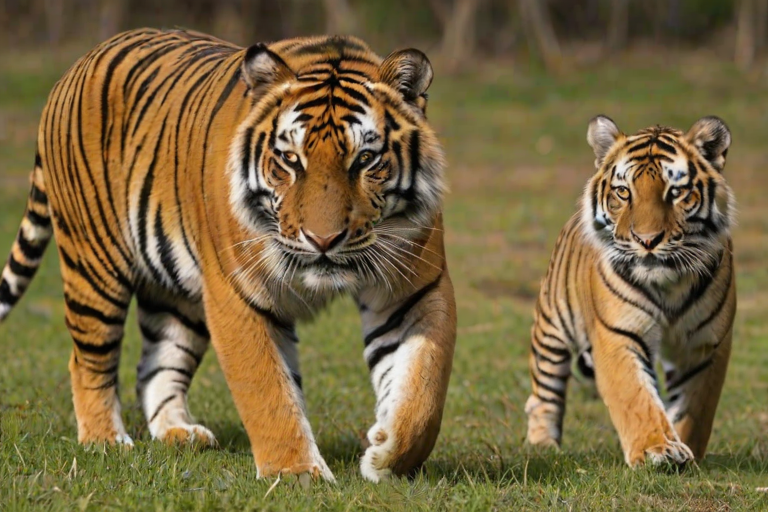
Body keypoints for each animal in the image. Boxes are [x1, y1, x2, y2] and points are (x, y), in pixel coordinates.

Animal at [0, 28, 457, 482]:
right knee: (87, 359)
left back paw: (179, 432)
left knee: (155, 365)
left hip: (178, 293)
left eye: (365, 159)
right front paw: (296, 472)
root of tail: (77, 66)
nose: (322, 240)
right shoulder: (238, 293)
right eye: (290, 159)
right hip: (94, 262)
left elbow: (424, 390)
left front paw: (386, 455)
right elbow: (268, 388)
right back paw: (105, 440)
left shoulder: (416, 289)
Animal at [524, 115, 736, 468]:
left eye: (676, 192)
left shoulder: (705, 344)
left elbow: (694, 407)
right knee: (545, 391)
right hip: (552, 326)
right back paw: (542, 444)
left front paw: (686, 447)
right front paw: (657, 449)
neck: (670, 284)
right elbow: (636, 397)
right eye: (624, 192)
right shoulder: (618, 334)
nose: (646, 240)